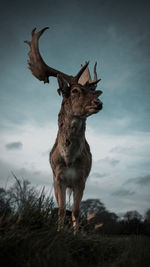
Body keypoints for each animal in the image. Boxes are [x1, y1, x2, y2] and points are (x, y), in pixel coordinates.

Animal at [24, 26, 103, 233]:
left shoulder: (81, 179)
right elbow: (60, 209)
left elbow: (75, 211)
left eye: (93, 92)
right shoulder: (57, 178)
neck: (68, 160)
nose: (98, 102)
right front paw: (59, 232)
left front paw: (75, 235)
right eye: (75, 91)